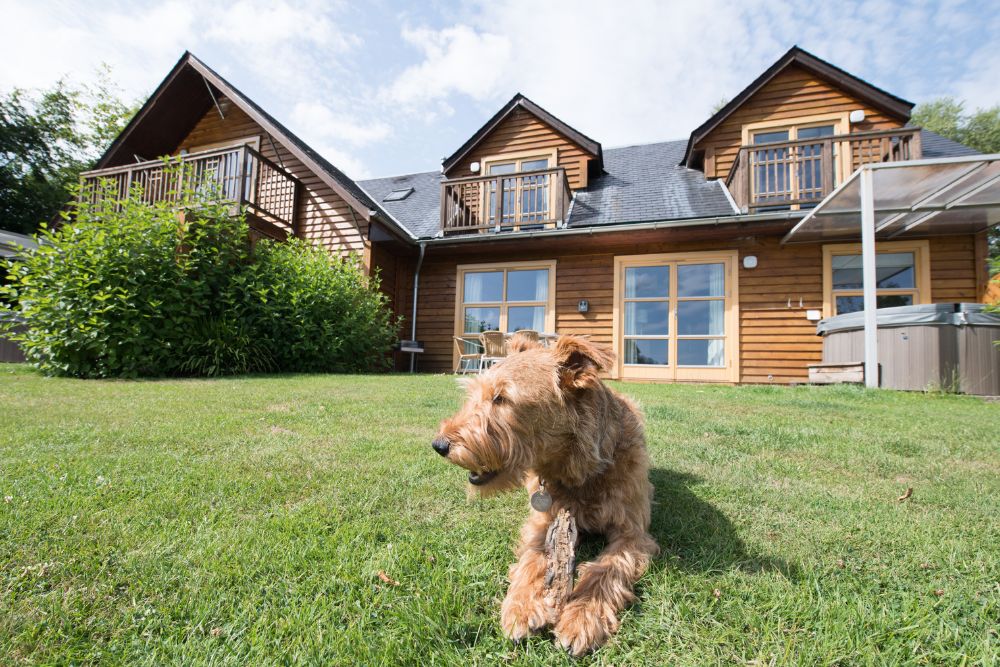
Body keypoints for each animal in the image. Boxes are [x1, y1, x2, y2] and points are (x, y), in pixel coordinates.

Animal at [432, 332, 660, 656]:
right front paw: (522, 607)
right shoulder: (541, 523)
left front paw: (581, 617)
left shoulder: (633, 534)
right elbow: (532, 560)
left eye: (501, 398)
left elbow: (604, 569)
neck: (578, 473)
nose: (439, 445)